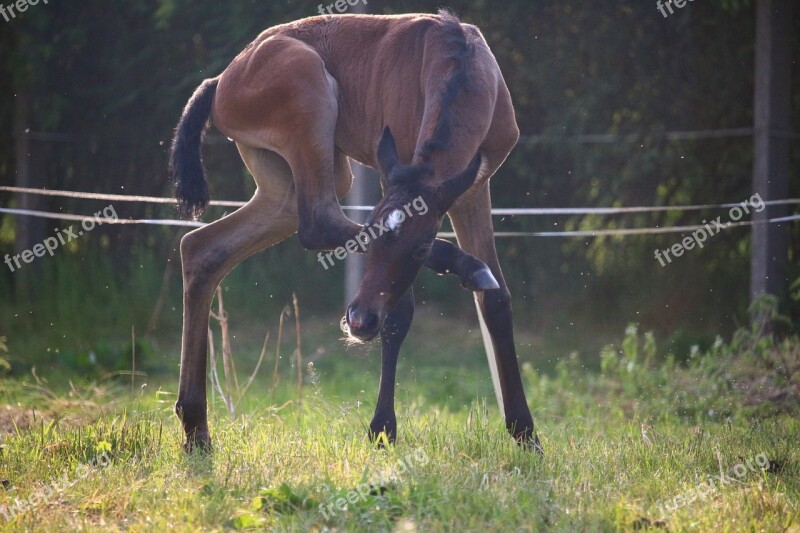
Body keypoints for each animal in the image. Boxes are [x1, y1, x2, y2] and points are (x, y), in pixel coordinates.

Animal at [171, 10, 540, 454]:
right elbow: (400, 311)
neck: (458, 61)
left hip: (288, 183)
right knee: (317, 221)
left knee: (202, 247)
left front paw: (526, 434)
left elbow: (496, 301)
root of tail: (224, 79)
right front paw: (383, 430)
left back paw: (196, 429)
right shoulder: (394, 175)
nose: (360, 321)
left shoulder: (472, 189)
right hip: (309, 91)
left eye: (420, 249)